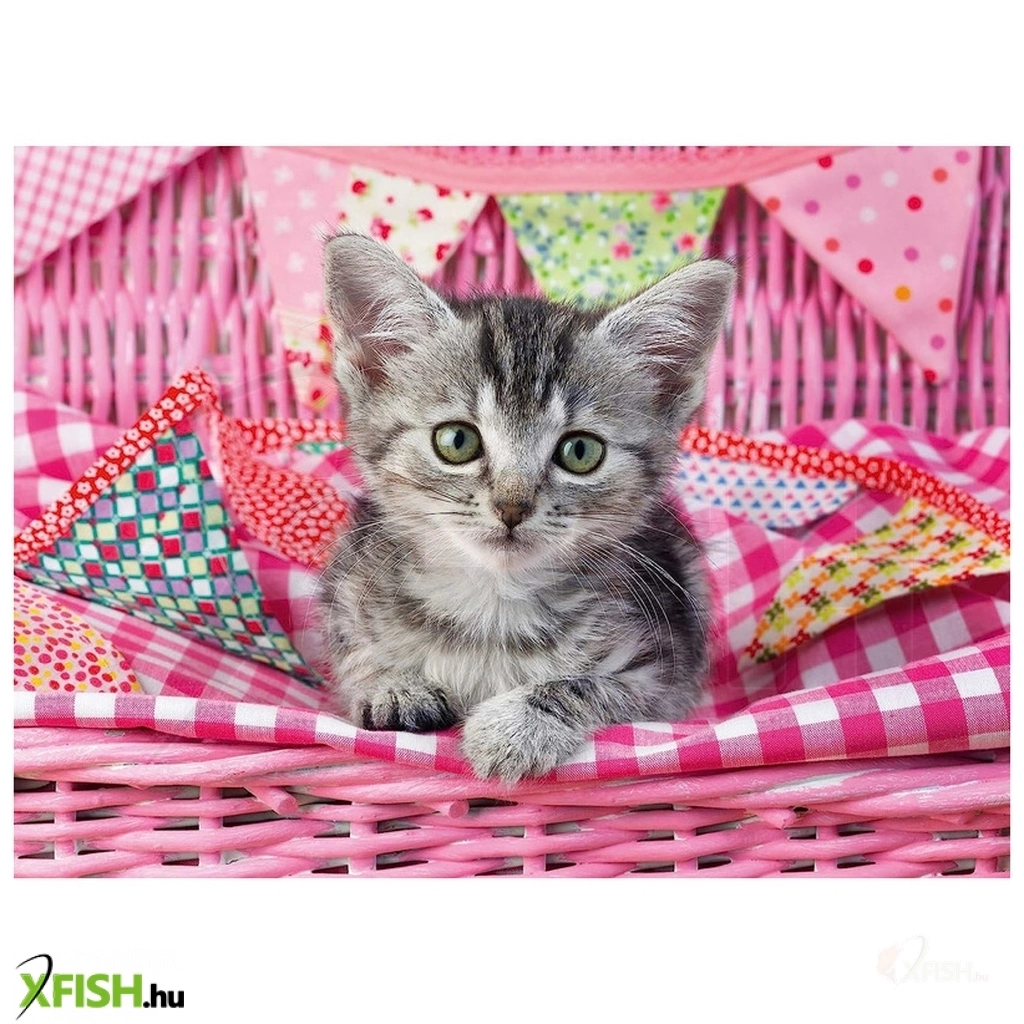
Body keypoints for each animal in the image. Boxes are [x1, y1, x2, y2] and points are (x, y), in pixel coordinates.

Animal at [319, 232, 734, 783]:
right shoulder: (346, 594)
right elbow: (353, 655)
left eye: (580, 451)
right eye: (457, 441)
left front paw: (515, 726)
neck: (492, 604)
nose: (512, 507)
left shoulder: (664, 674)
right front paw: (391, 684)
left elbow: (591, 686)